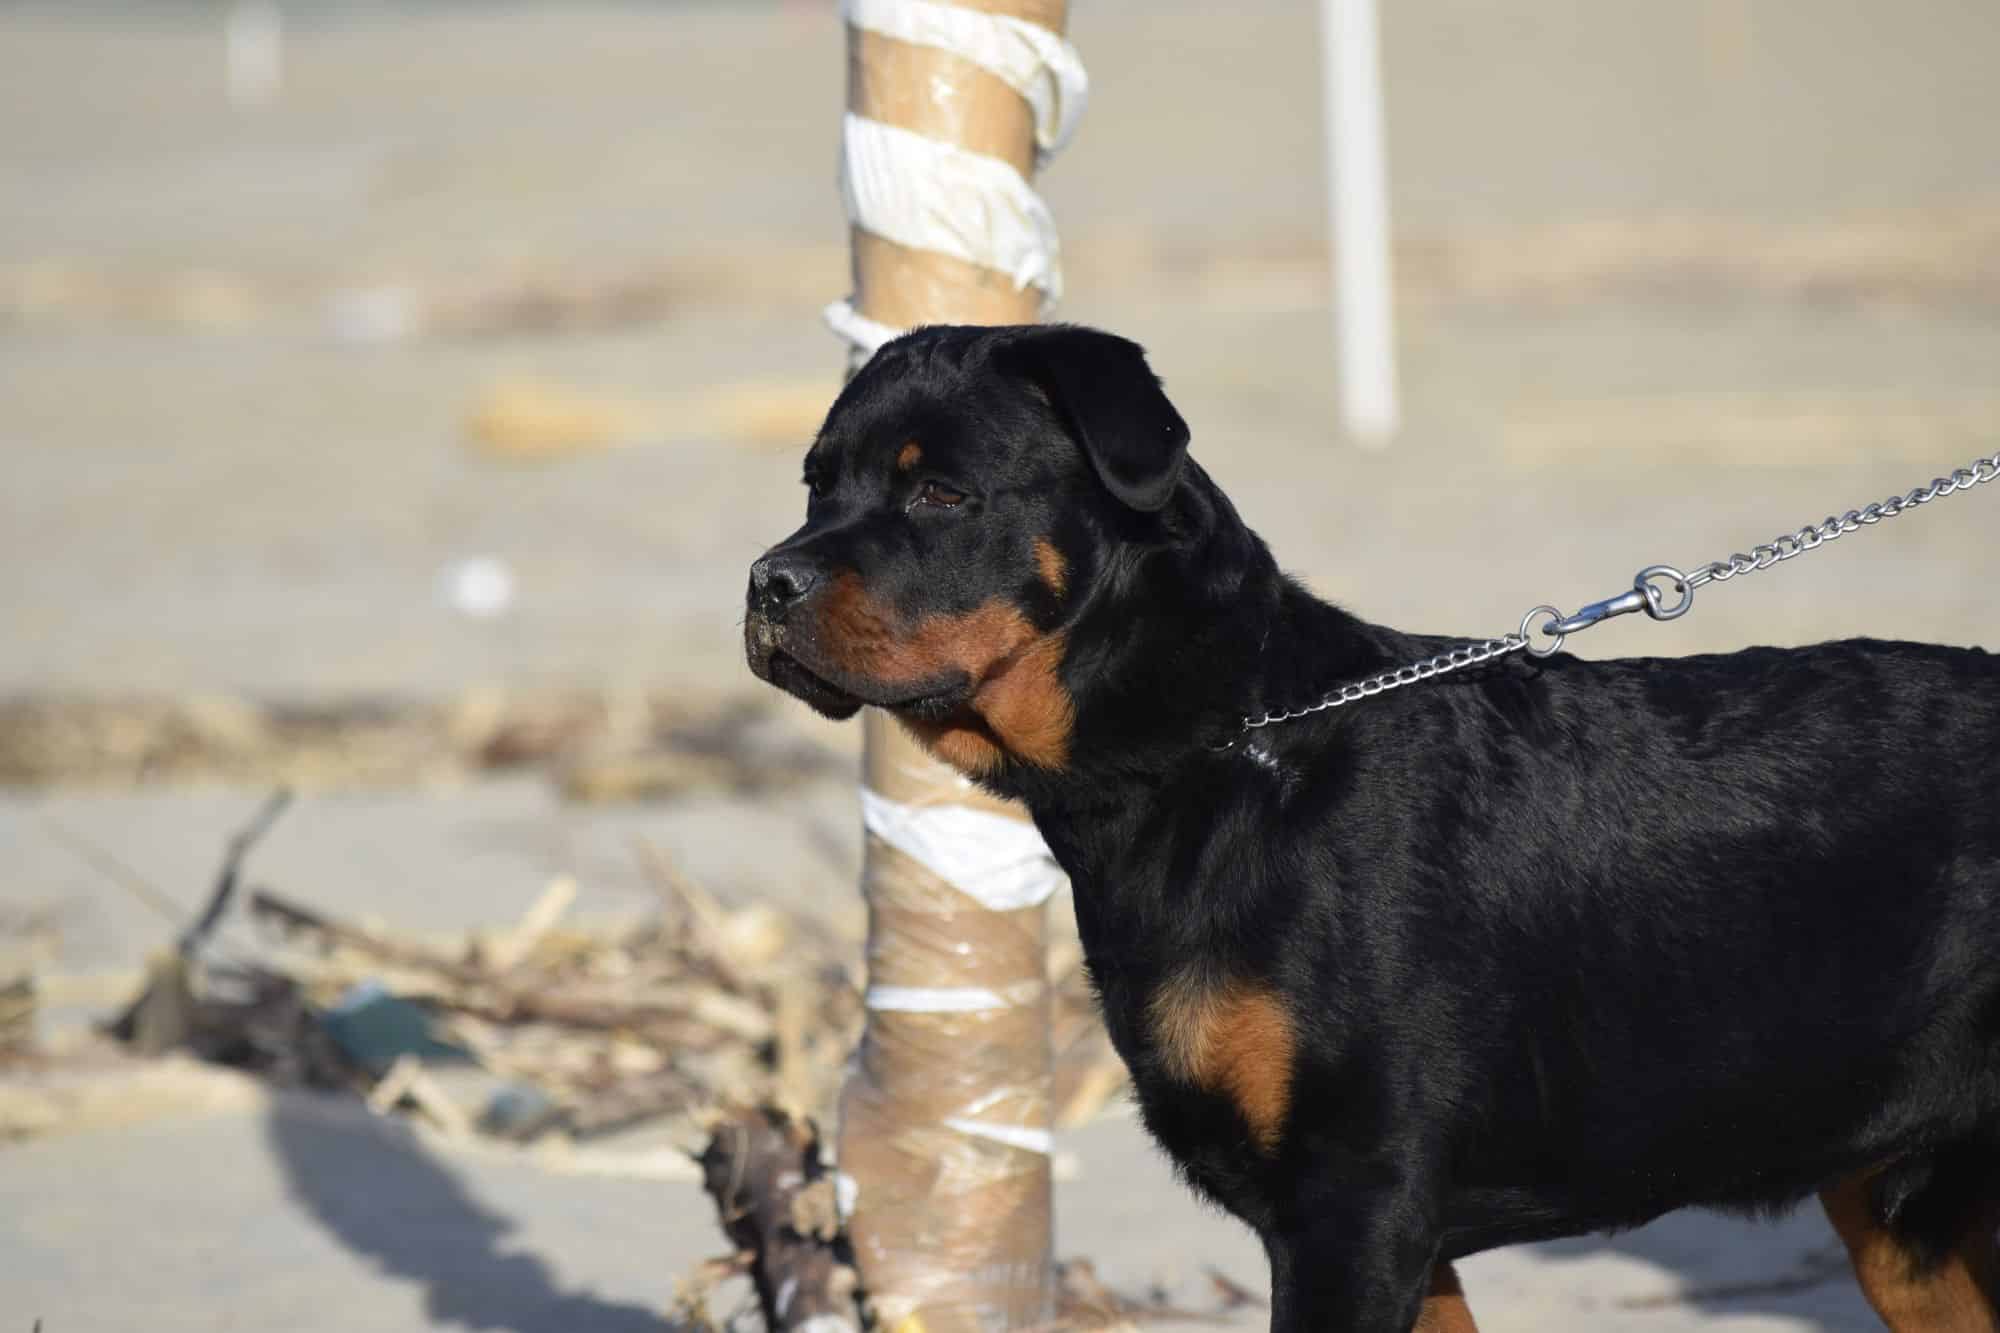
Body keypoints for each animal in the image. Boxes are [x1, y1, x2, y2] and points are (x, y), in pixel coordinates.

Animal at [748, 322, 2000, 1328]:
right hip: (1903, 1221)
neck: (1223, 747)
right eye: (813, 487)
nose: (767, 581)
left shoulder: (1353, 1204)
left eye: (939, 495)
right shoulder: (1387, 1234)